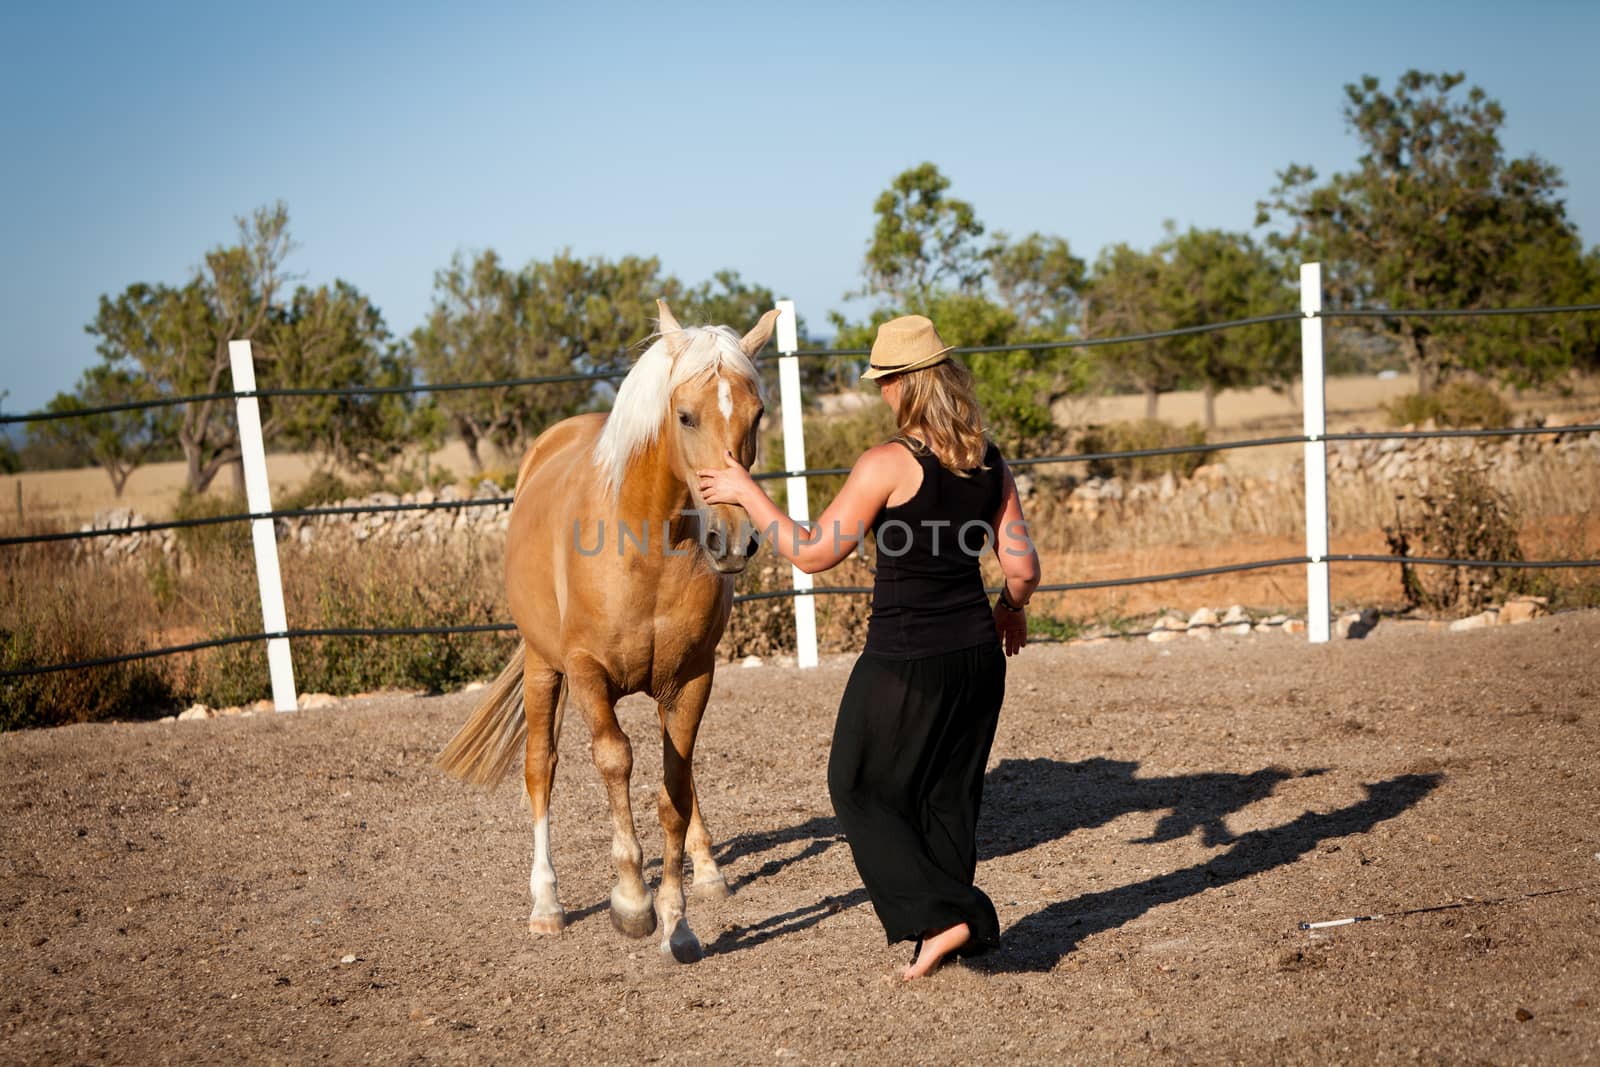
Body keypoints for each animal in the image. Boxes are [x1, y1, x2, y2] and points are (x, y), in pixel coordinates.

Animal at [435, 295, 777, 966]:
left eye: (756, 414)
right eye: (685, 416)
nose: (733, 540)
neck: (645, 545)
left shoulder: (694, 677)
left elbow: (675, 787)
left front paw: (678, 920)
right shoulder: (588, 674)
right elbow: (614, 760)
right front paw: (632, 902)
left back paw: (709, 870)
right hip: (543, 669)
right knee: (540, 767)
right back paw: (547, 905)